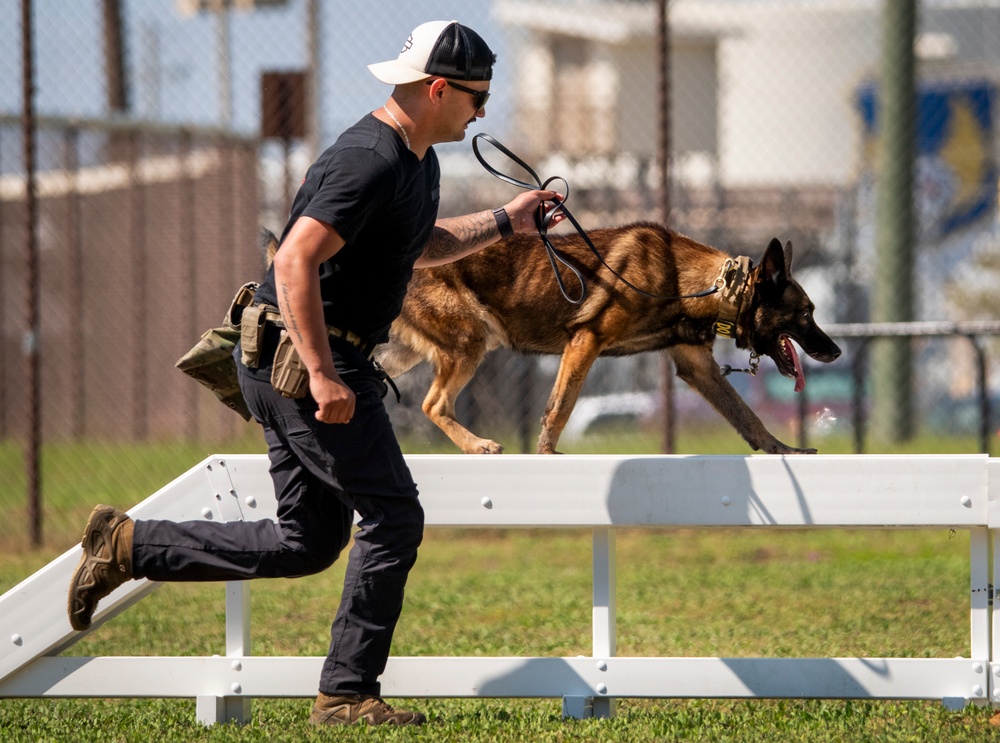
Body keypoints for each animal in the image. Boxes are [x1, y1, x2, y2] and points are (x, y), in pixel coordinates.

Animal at [376, 221, 844, 454]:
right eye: (807, 313)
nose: (837, 351)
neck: (701, 284)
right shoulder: (586, 340)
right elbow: (559, 409)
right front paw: (547, 455)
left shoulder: (697, 367)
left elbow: (747, 416)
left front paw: (781, 448)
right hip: (471, 340)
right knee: (434, 404)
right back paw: (478, 446)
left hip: (404, 355)